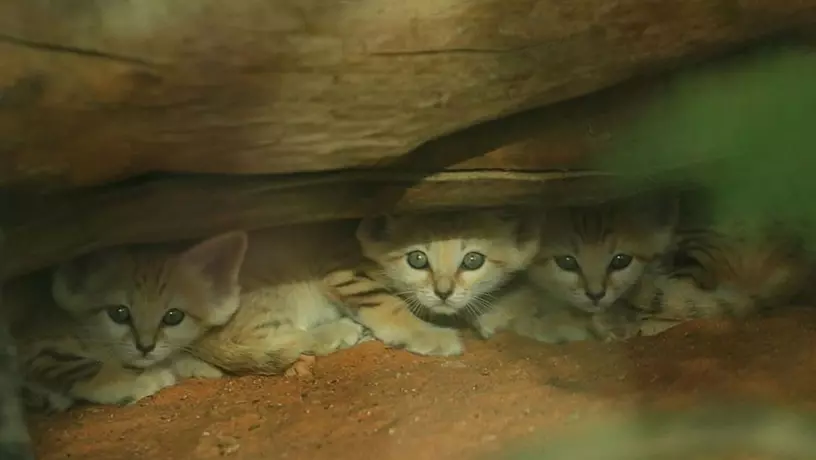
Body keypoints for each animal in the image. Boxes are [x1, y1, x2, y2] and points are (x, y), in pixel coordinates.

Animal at [7, 234, 245, 410]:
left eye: (173, 316)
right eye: (119, 313)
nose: (145, 347)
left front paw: (193, 364)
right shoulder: (33, 345)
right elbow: (89, 366)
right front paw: (135, 382)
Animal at [326, 210, 540, 354]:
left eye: (473, 260)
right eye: (417, 258)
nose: (443, 293)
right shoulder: (340, 270)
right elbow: (386, 303)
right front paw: (430, 336)